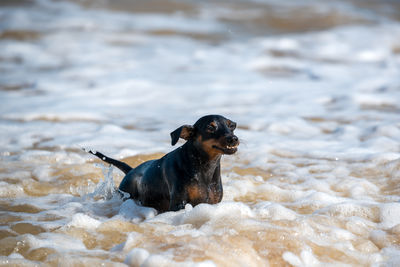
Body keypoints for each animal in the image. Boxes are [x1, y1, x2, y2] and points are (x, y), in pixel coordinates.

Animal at [86, 115, 238, 214]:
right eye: (210, 127)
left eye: (231, 126)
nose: (234, 139)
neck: (204, 168)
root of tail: (130, 170)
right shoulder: (179, 204)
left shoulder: (213, 202)